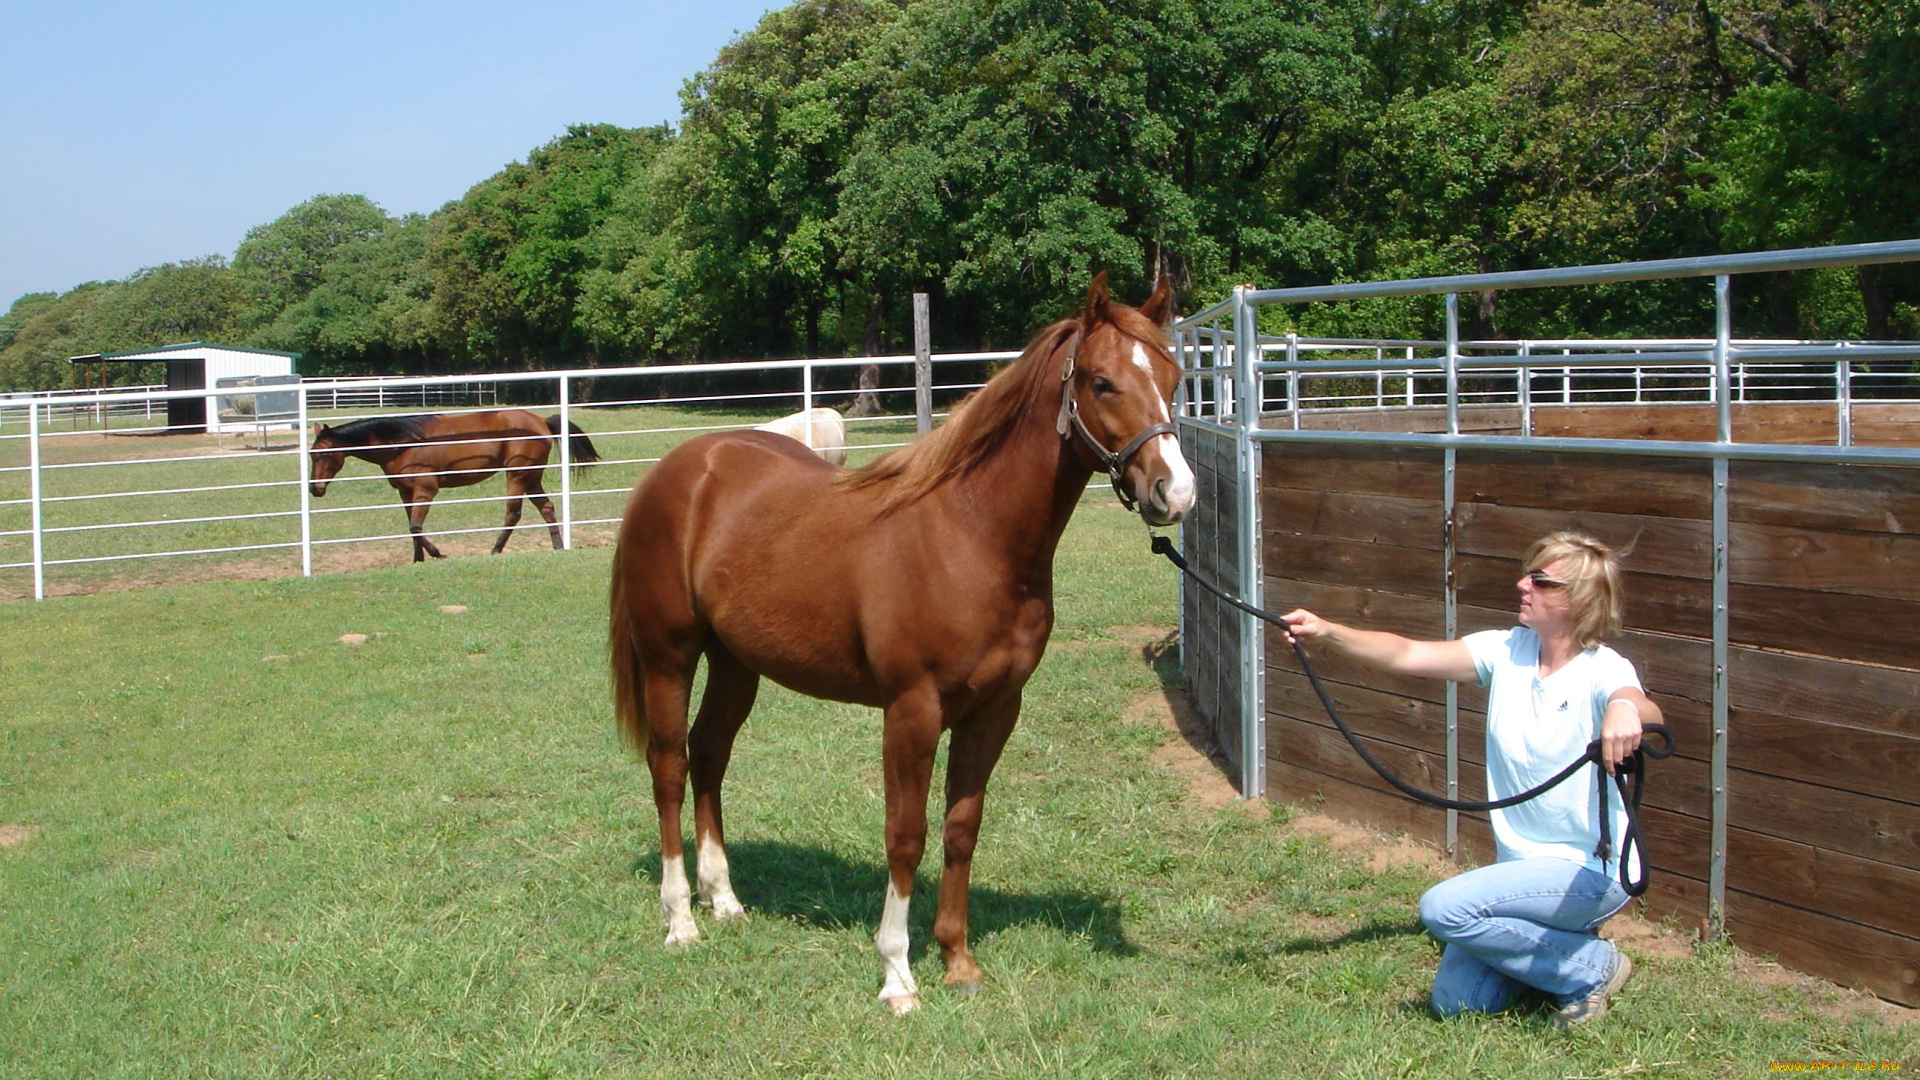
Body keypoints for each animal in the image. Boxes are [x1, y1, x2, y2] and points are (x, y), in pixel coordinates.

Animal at [309, 409, 599, 564]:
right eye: (311, 454)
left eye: (324, 454)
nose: (315, 489)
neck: (402, 443)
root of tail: (541, 421)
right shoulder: (405, 492)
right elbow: (412, 528)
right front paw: (418, 560)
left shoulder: (425, 490)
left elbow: (416, 527)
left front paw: (438, 554)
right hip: (531, 478)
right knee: (546, 508)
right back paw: (557, 546)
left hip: (517, 476)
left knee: (513, 513)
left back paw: (495, 550)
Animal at [606, 272, 1190, 1014]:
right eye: (1102, 381)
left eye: (1173, 378)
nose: (1175, 492)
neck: (968, 534)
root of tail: (680, 467)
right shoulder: (911, 712)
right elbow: (905, 836)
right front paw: (898, 976)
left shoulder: (994, 711)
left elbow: (962, 828)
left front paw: (958, 961)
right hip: (669, 657)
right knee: (671, 767)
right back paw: (681, 918)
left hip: (736, 662)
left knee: (710, 754)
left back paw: (726, 899)